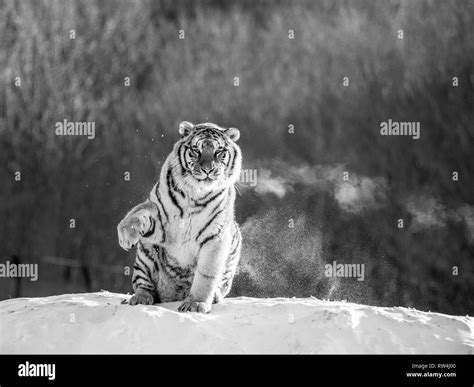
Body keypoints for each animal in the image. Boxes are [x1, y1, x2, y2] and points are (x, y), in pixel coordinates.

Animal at [116, 121, 243, 316]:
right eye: (196, 150)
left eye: (219, 151)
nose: (208, 169)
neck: (196, 194)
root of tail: (174, 294)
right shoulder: (161, 219)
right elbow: (139, 214)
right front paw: (125, 237)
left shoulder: (215, 235)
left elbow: (206, 275)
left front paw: (196, 304)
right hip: (145, 255)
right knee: (143, 284)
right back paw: (140, 298)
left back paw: (213, 296)